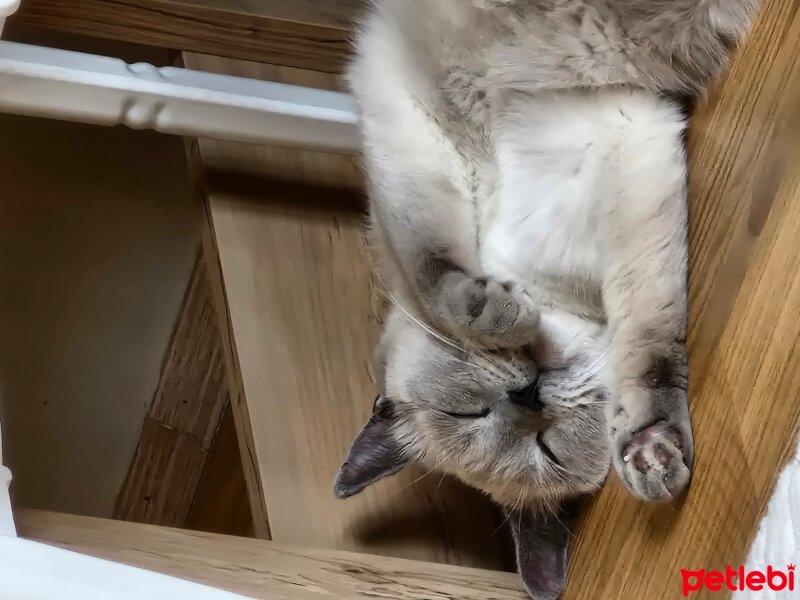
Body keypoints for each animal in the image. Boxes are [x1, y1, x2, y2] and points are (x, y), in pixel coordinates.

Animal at [336, 2, 756, 596]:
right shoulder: (630, 138)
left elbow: (430, 268)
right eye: (546, 448)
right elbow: (650, 347)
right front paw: (650, 453)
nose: (528, 394)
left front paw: (497, 312)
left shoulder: (404, 117)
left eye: (464, 412)